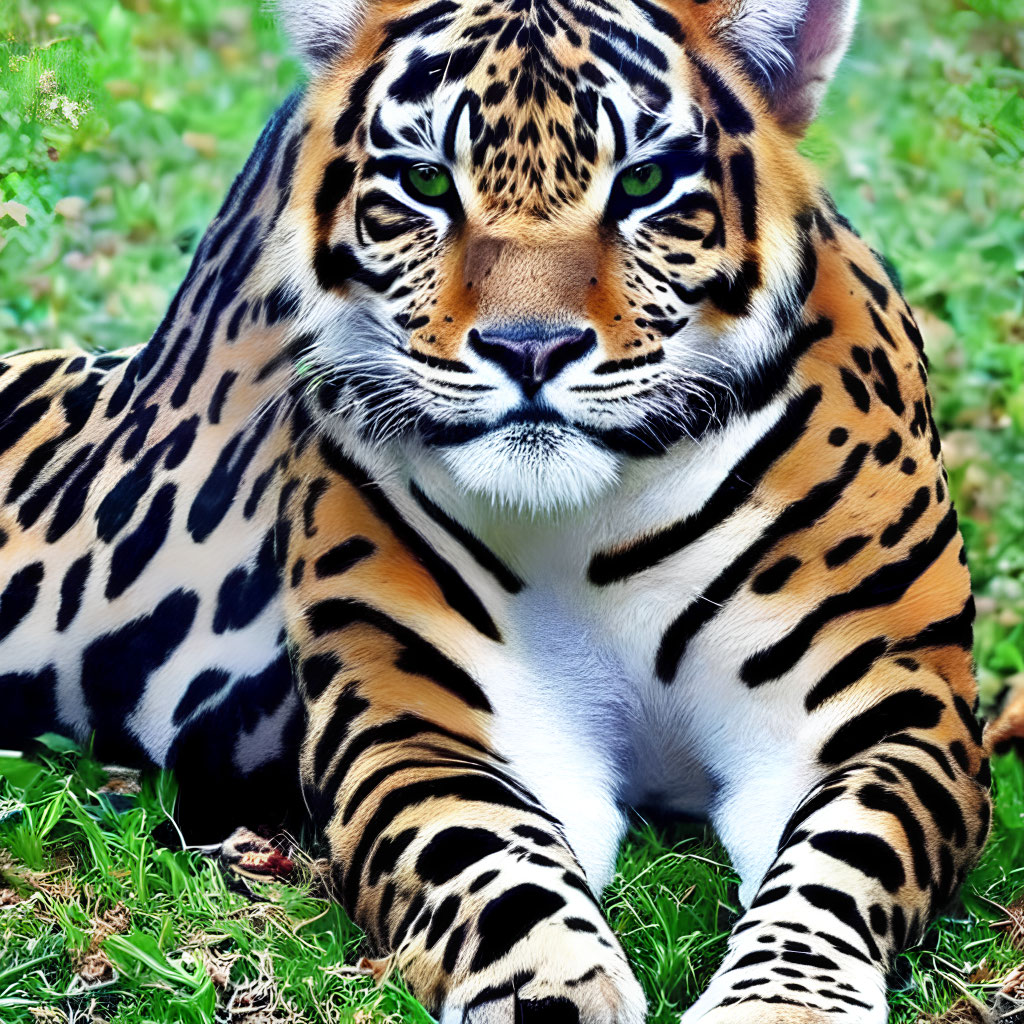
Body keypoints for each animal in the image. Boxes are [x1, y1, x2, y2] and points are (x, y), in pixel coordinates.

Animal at [0, 0, 991, 1019]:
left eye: (643, 182)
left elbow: (838, 864)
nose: (529, 348)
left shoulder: (886, 711)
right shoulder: (426, 720)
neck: (600, 523)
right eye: (427, 182)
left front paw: (783, 1001)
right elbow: (487, 855)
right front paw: (554, 990)